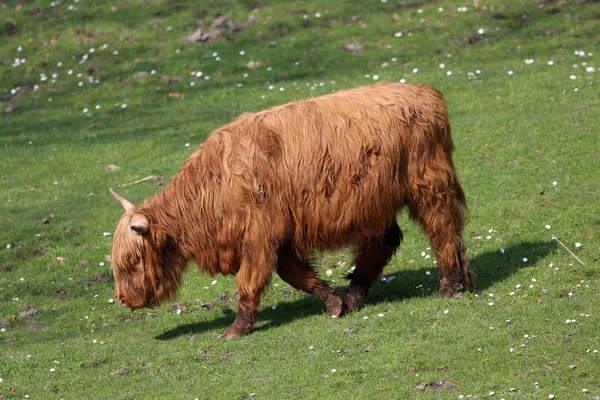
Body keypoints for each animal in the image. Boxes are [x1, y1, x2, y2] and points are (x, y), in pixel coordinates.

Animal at [108, 83, 474, 340]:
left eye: (133, 260)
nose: (124, 300)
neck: (210, 189)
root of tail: (425, 93)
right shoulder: (281, 236)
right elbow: (297, 275)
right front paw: (334, 303)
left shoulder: (260, 235)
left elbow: (250, 281)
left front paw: (236, 329)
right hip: (376, 204)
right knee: (383, 244)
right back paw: (357, 295)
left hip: (429, 187)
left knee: (444, 231)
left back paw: (448, 286)